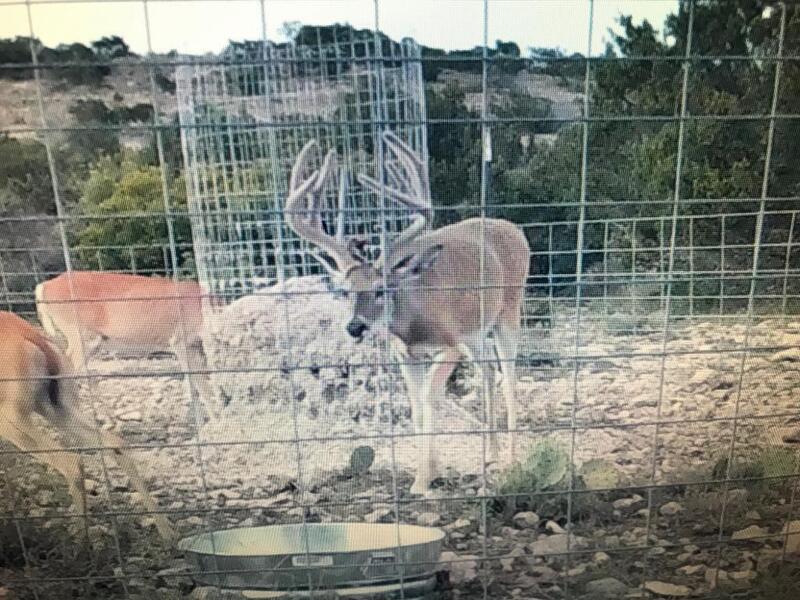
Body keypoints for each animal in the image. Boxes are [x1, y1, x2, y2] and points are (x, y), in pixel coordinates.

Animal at [0, 310, 174, 540]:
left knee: (71, 462)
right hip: (56, 409)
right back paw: (167, 532)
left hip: (13, 420)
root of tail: (32, 336)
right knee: (114, 443)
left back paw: (82, 543)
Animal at [284, 134, 528, 494]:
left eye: (381, 289)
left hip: (509, 311)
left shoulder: (450, 344)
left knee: (509, 377)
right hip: (476, 332)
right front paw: (429, 471)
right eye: (346, 291)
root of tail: (516, 229)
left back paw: (511, 459)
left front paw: (423, 480)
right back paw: (492, 453)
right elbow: (415, 406)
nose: (355, 327)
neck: (411, 321)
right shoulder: (406, 355)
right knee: (488, 372)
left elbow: (428, 398)